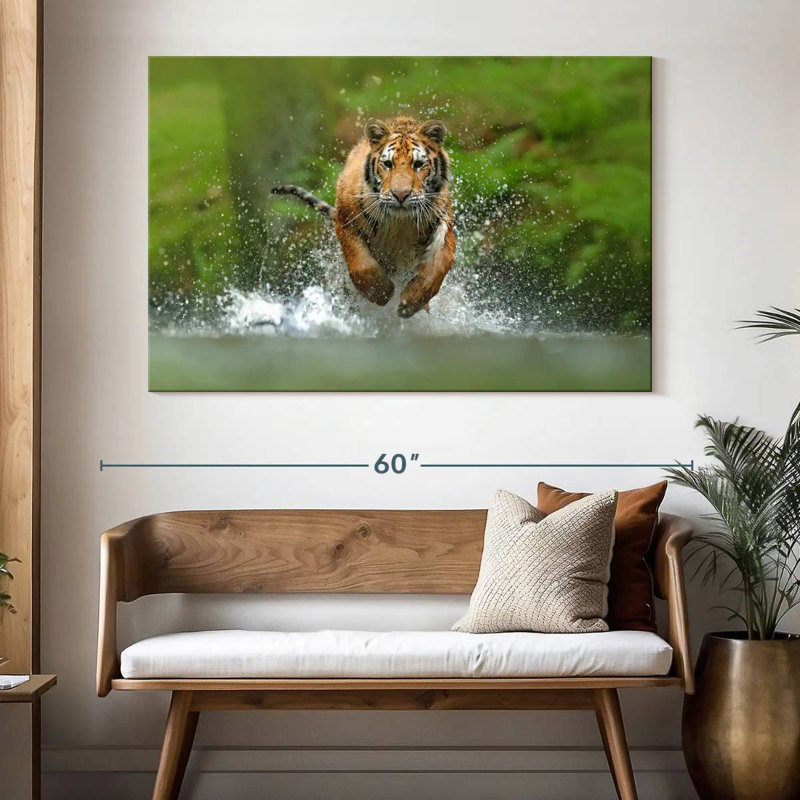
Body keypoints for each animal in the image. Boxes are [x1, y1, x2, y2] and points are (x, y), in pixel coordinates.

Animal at [272, 116, 456, 318]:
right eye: (388, 164)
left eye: (418, 164)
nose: (401, 195)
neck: (400, 223)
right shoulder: (346, 221)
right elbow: (361, 264)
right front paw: (382, 293)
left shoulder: (443, 220)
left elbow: (439, 265)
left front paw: (410, 303)